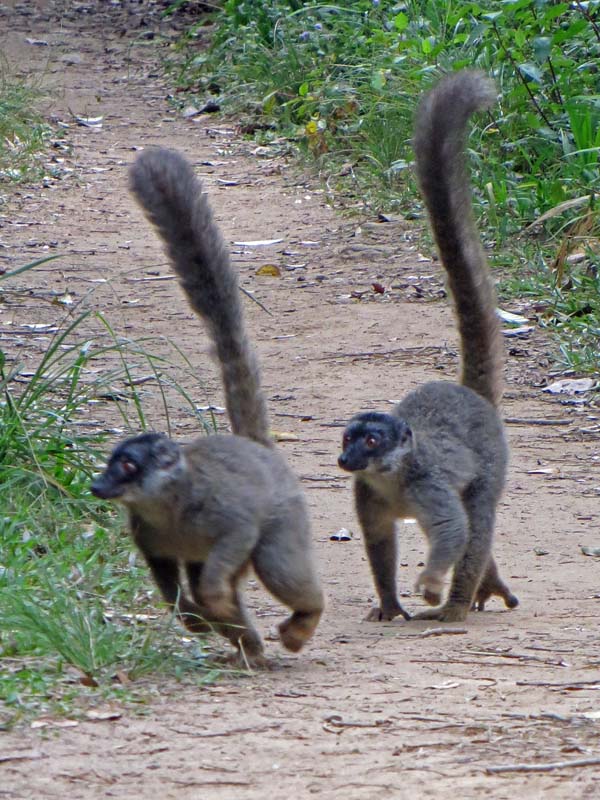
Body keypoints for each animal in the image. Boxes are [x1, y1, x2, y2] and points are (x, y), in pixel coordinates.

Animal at [91, 148, 324, 665]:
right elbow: (167, 580)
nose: (98, 485)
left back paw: (302, 619)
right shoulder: (146, 533)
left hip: (285, 512)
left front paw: (211, 604)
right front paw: (191, 616)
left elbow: (236, 536)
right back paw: (245, 643)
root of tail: (257, 448)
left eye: (128, 466)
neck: (166, 508)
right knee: (207, 581)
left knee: (275, 564)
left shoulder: (222, 513)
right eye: (111, 464)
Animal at [337, 71, 518, 624]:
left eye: (371, 441)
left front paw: (433, 587)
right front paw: (389, 603)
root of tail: (471, 398)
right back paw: (487, 584)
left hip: (492, 460)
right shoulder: (366, 494)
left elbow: (455, 530)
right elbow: (378, 543)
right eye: (348, 439)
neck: (392, 481)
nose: (346, 458)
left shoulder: (427, 485)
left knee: (477, 518)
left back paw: (457, 605)